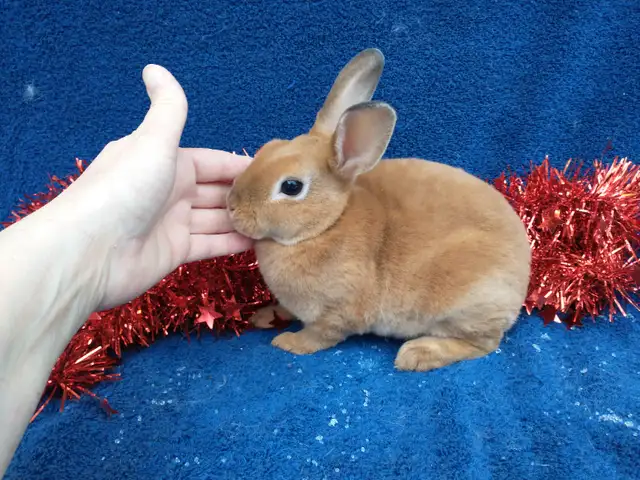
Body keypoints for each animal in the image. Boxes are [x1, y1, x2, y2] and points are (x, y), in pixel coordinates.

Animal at [226, 48, 531, 372]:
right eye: (267, 148)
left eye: (292, 187)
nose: (231, 206)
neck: (327, 225)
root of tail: (524, 273)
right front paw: (265, 316)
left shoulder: (337, 312)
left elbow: (319, 336)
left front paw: (288, 342)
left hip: (467, 303)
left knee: (482, 344)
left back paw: (417, 354)